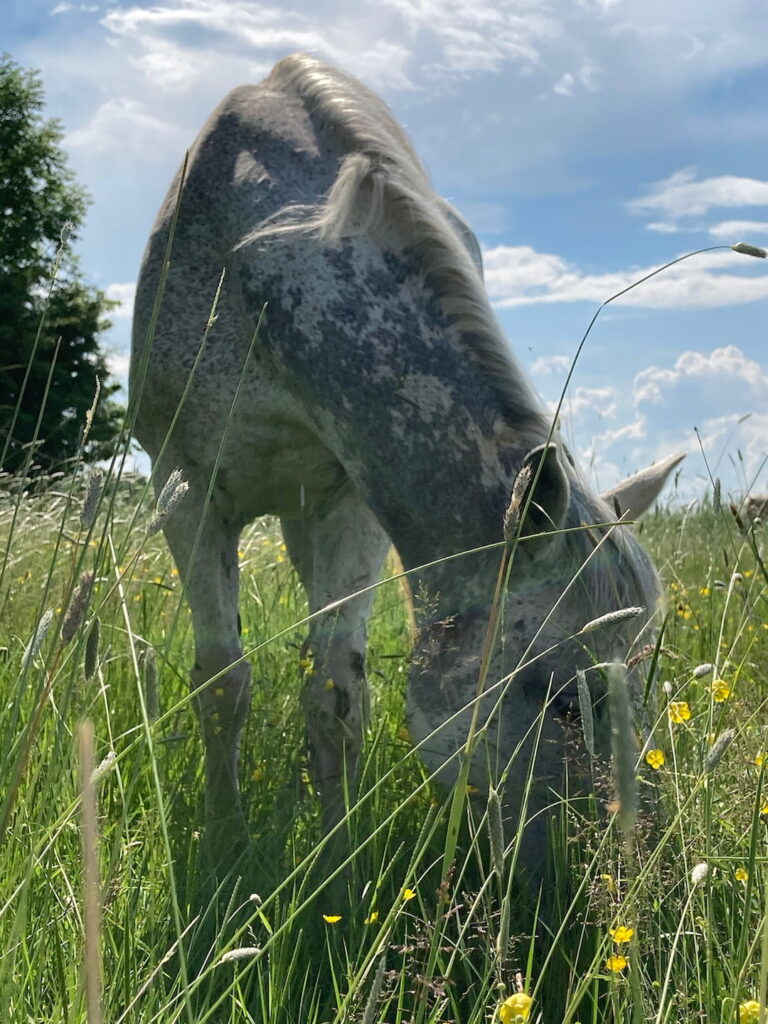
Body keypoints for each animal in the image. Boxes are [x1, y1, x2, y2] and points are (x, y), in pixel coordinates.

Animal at [130, 53, 682, 876]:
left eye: (643, 673)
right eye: (556, 695)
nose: (611, 865)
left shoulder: (349, 500)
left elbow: (335, 693)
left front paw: (340, 869)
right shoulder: (189, 492)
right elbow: (223, 682)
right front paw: (227, 845)